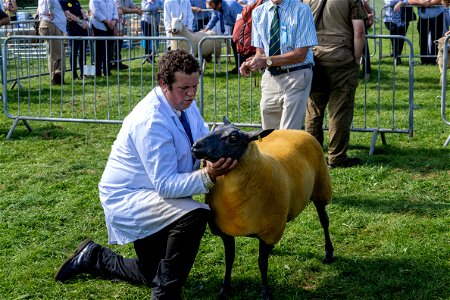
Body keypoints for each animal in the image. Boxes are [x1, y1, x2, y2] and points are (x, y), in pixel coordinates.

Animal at [190, 117, 334, 300]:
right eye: (214, 129)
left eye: (234, 138)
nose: (196, 146)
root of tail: (295, 130)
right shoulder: (225, 231)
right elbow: (229, 259)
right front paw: (225, 288)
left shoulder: (268, 232)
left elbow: (262, 263)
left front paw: (265, 291)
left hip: (321, 189)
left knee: (324, 221)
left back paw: (329, 252)